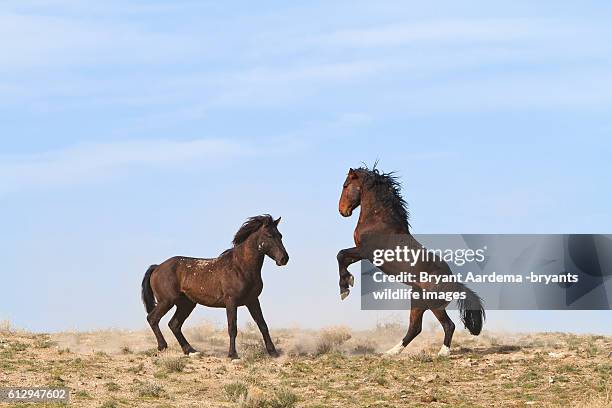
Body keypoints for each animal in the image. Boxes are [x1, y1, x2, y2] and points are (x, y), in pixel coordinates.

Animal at [142, 215, 288, 358]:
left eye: (280, 235)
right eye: (269, 235)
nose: (284, 259)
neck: (240, 267)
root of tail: (157, 267)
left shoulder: (253, 301)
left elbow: (263, 325)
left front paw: (273, 352)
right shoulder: (231, 301)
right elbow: (232, 328)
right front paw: (232, 355)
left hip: (186, 304)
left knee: (174, 324)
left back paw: (190, 350)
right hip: (167, 301)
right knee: (153, 319)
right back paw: (162, 346)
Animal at [338, 167, 486, 356]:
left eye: (345, 185)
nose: (342, 210)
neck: (378, 220)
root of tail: (456, 284)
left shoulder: (366, 251)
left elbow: (341, 255)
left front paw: (345, 288)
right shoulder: (362, 252)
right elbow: (343, 257)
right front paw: (347, 284)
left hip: (434, 304)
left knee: (448, 325)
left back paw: (442, 352)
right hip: (417, 301)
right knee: (415, 328)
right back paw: (391, 352)